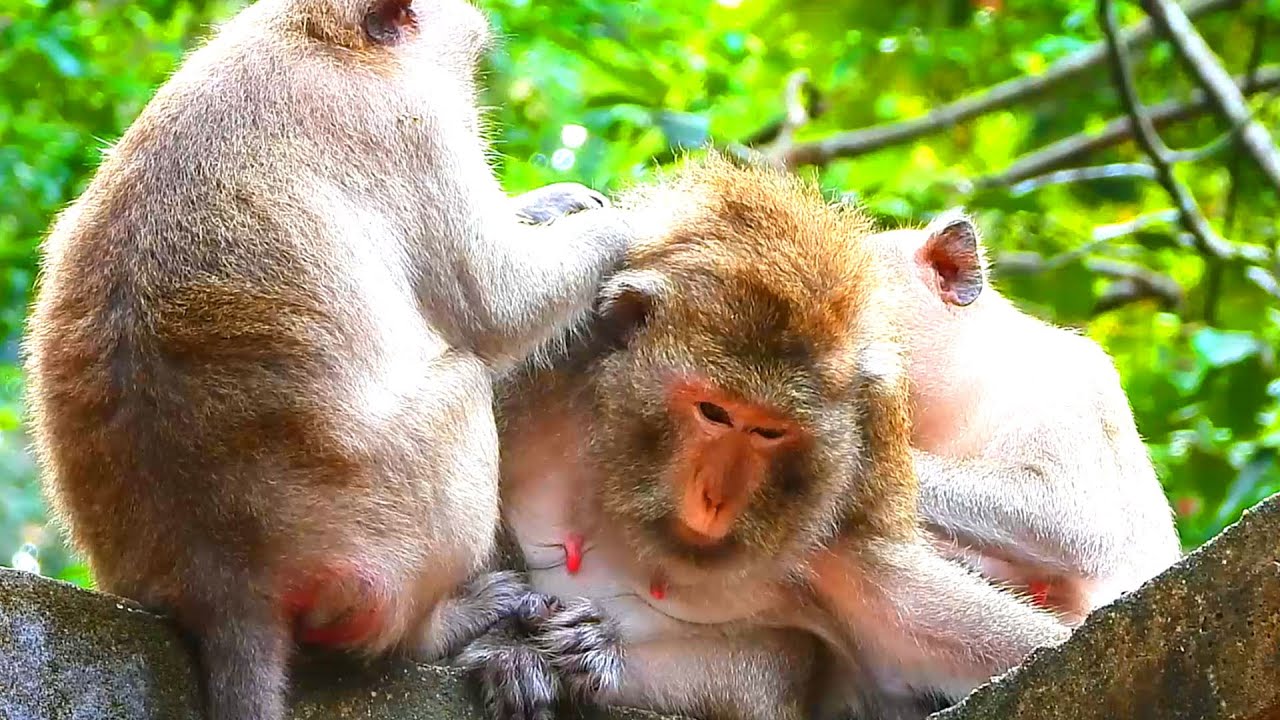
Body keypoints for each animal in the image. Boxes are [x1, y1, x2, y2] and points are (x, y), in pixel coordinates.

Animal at [21, 2, 636, 719]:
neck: (320, 41)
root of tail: (224, 585)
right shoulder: (410, 130)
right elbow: (497, 301)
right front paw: (628, 227)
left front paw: (550, 203)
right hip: (372, 542)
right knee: (463, 383)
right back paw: (441, 625)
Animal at [461, 154, 1070, 720]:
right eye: (713, 412)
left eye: (772, 432)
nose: (714, 497)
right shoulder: (548, 362)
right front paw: (510, 645)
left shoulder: (853, 490)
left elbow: (915, 614)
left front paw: (591, 656)